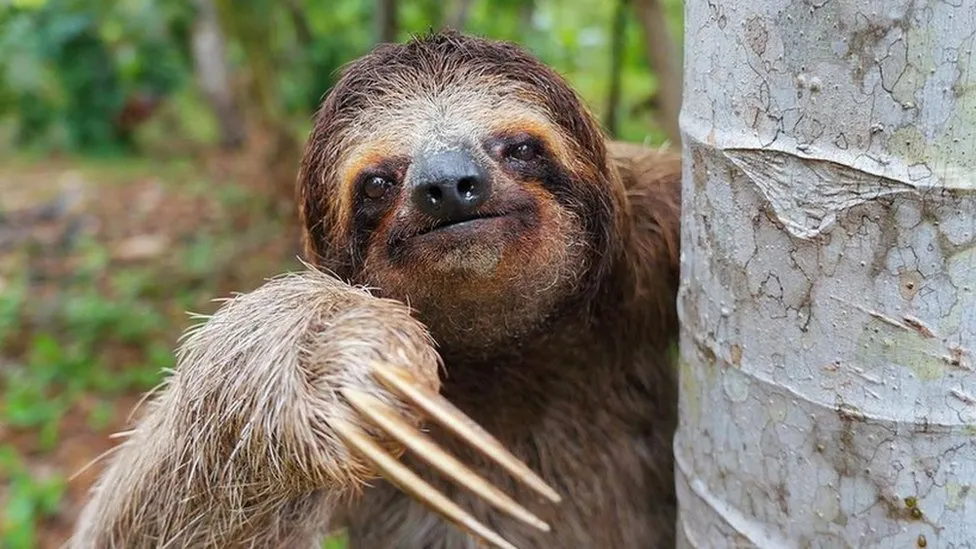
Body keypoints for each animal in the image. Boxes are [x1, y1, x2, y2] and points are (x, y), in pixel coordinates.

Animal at [70, 29, 682, 549]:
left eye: (521, 147)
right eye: (378, 182)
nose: (448, 184)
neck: (511, 361)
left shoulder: (654, 228)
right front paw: (324, 353)